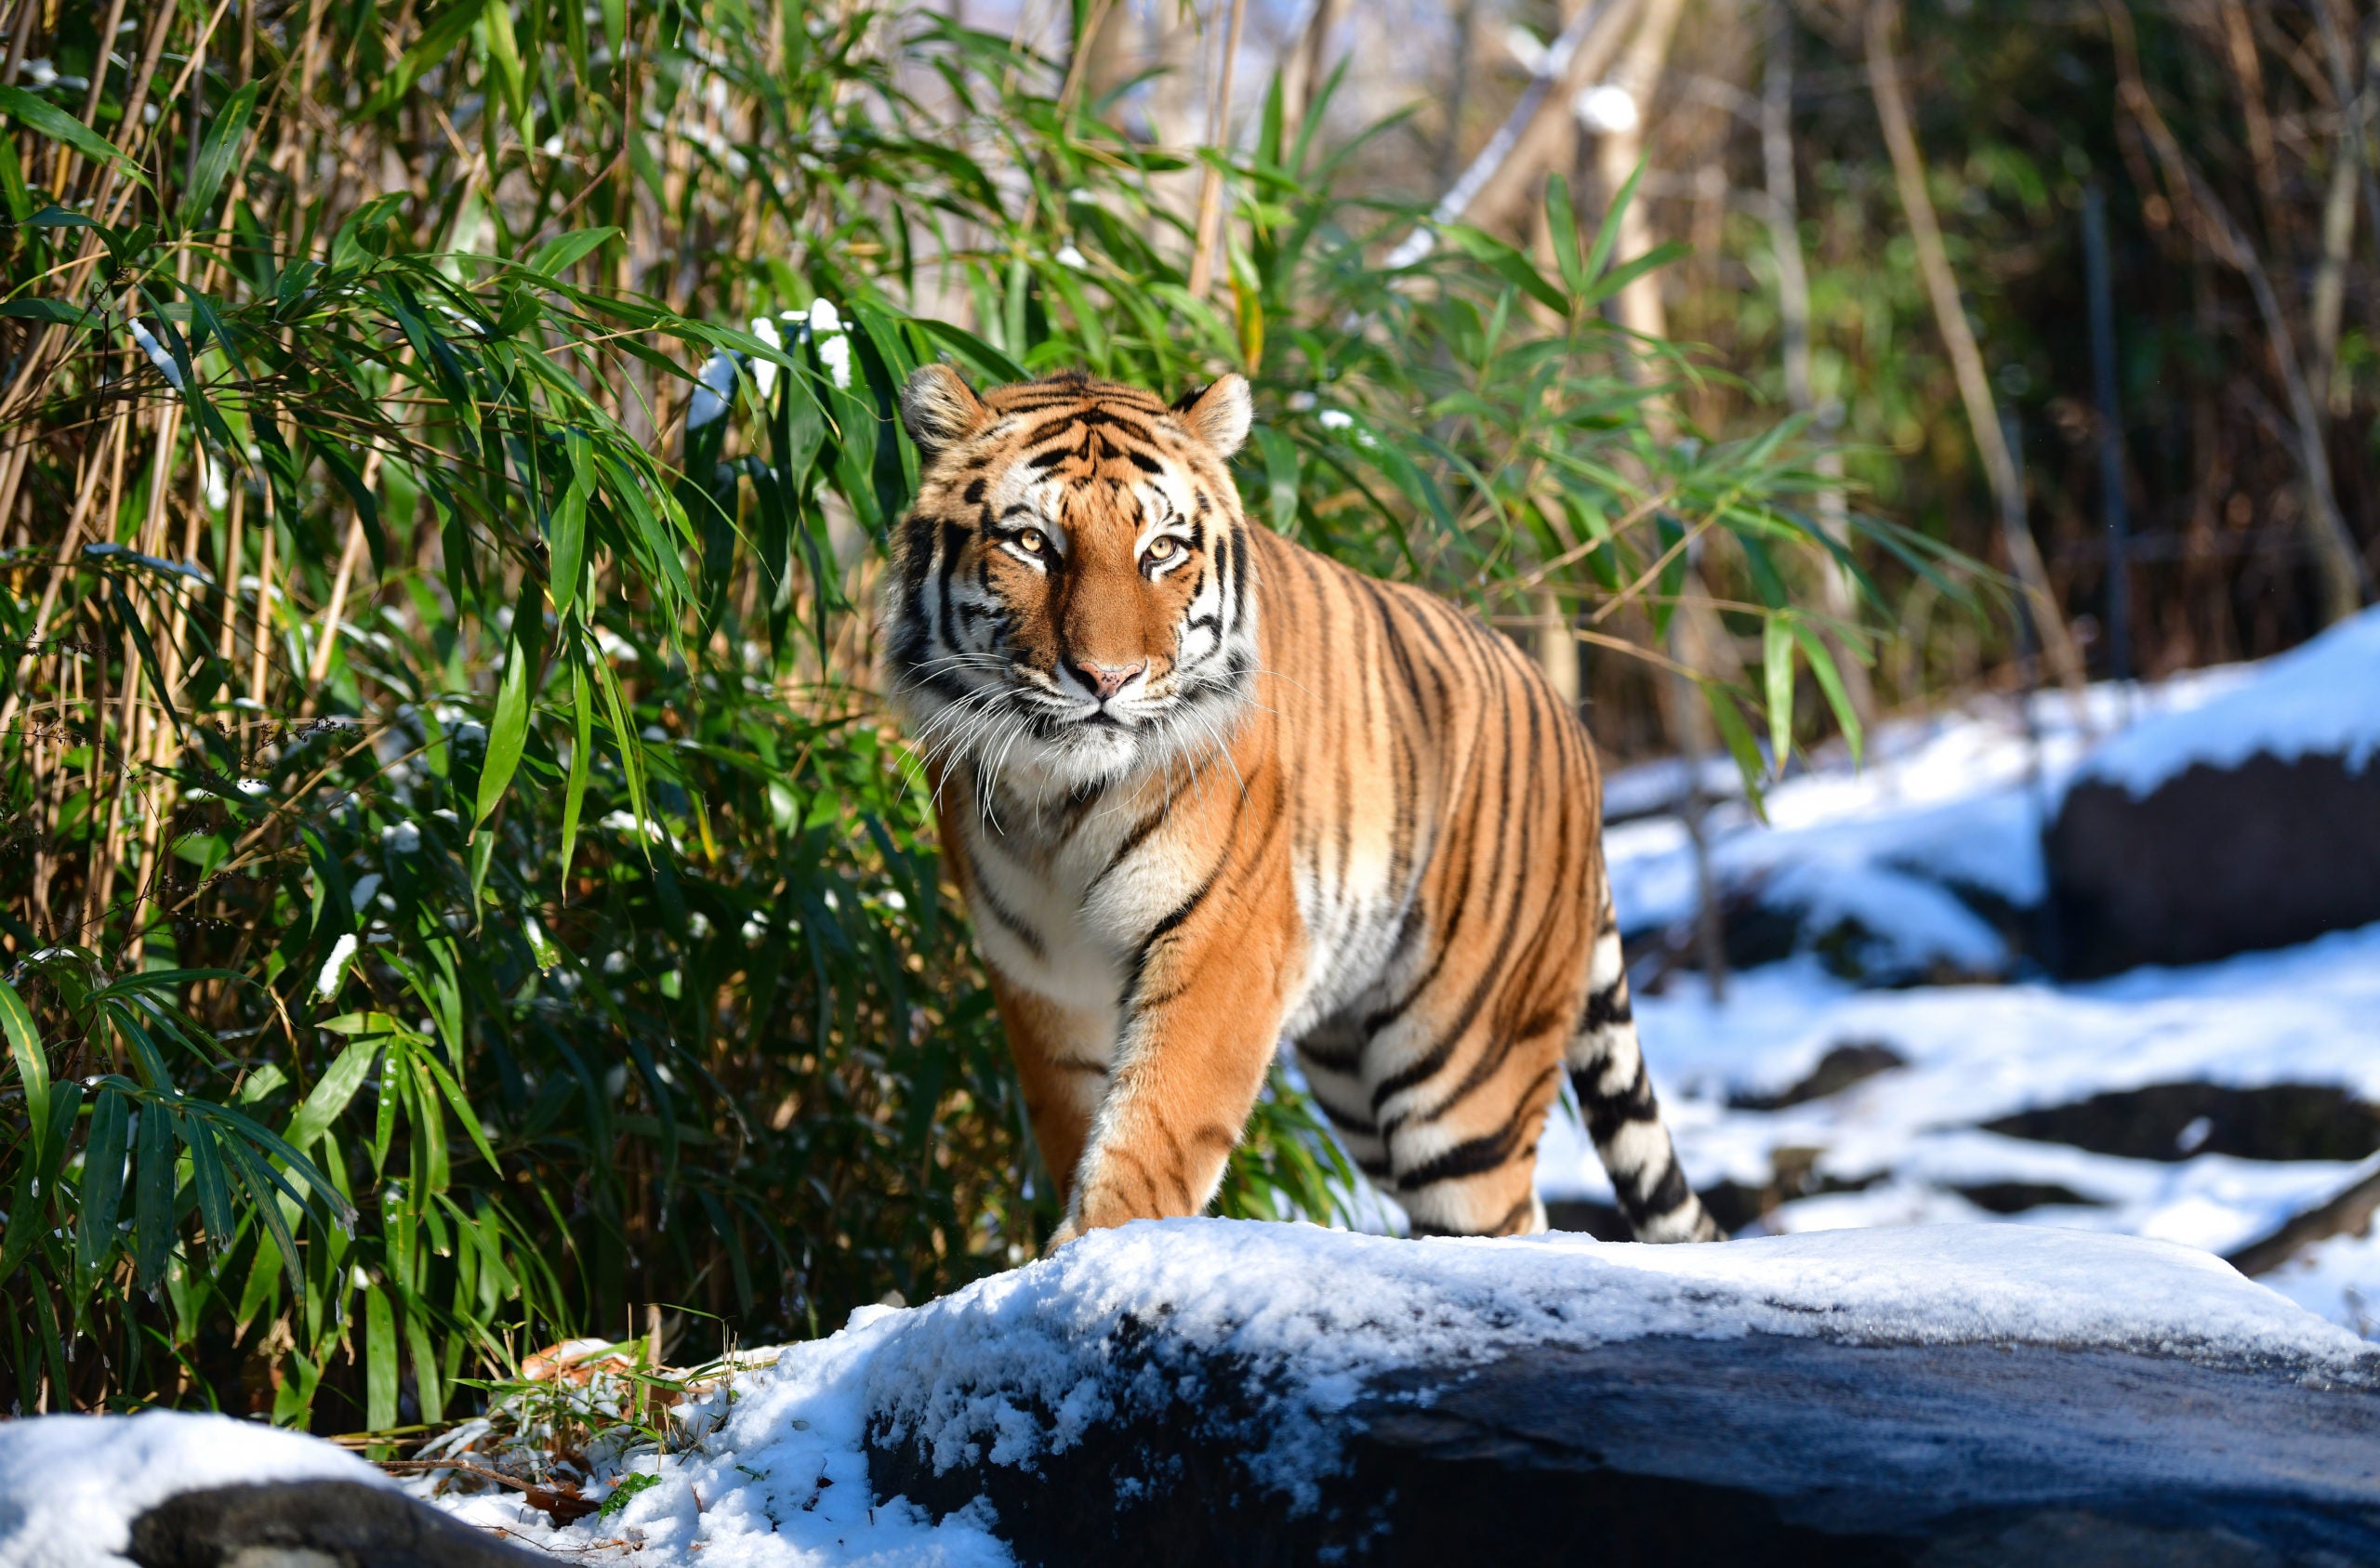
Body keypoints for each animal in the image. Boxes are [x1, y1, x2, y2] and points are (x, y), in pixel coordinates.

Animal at [885, 368, 1723, 1246]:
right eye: (1032, 544)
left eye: (1162, 550)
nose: (1107, 678)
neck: (1055, 803)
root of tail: (1569, 722)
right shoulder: (1040, 976)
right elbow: (1081, 1123)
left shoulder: (1225, 936)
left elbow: (1152, 1131)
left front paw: (1098, 1249)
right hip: (1359, 1078)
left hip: (1460, 1082)